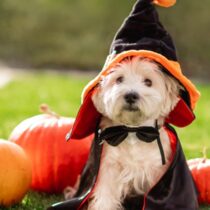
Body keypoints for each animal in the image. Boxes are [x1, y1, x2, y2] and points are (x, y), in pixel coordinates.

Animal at [84, 55, 181, 210]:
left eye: (148, 82)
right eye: (119, 79)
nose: (130, 95)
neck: (133, 130)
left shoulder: (157, 171)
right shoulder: (108, 168)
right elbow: (105, 196)